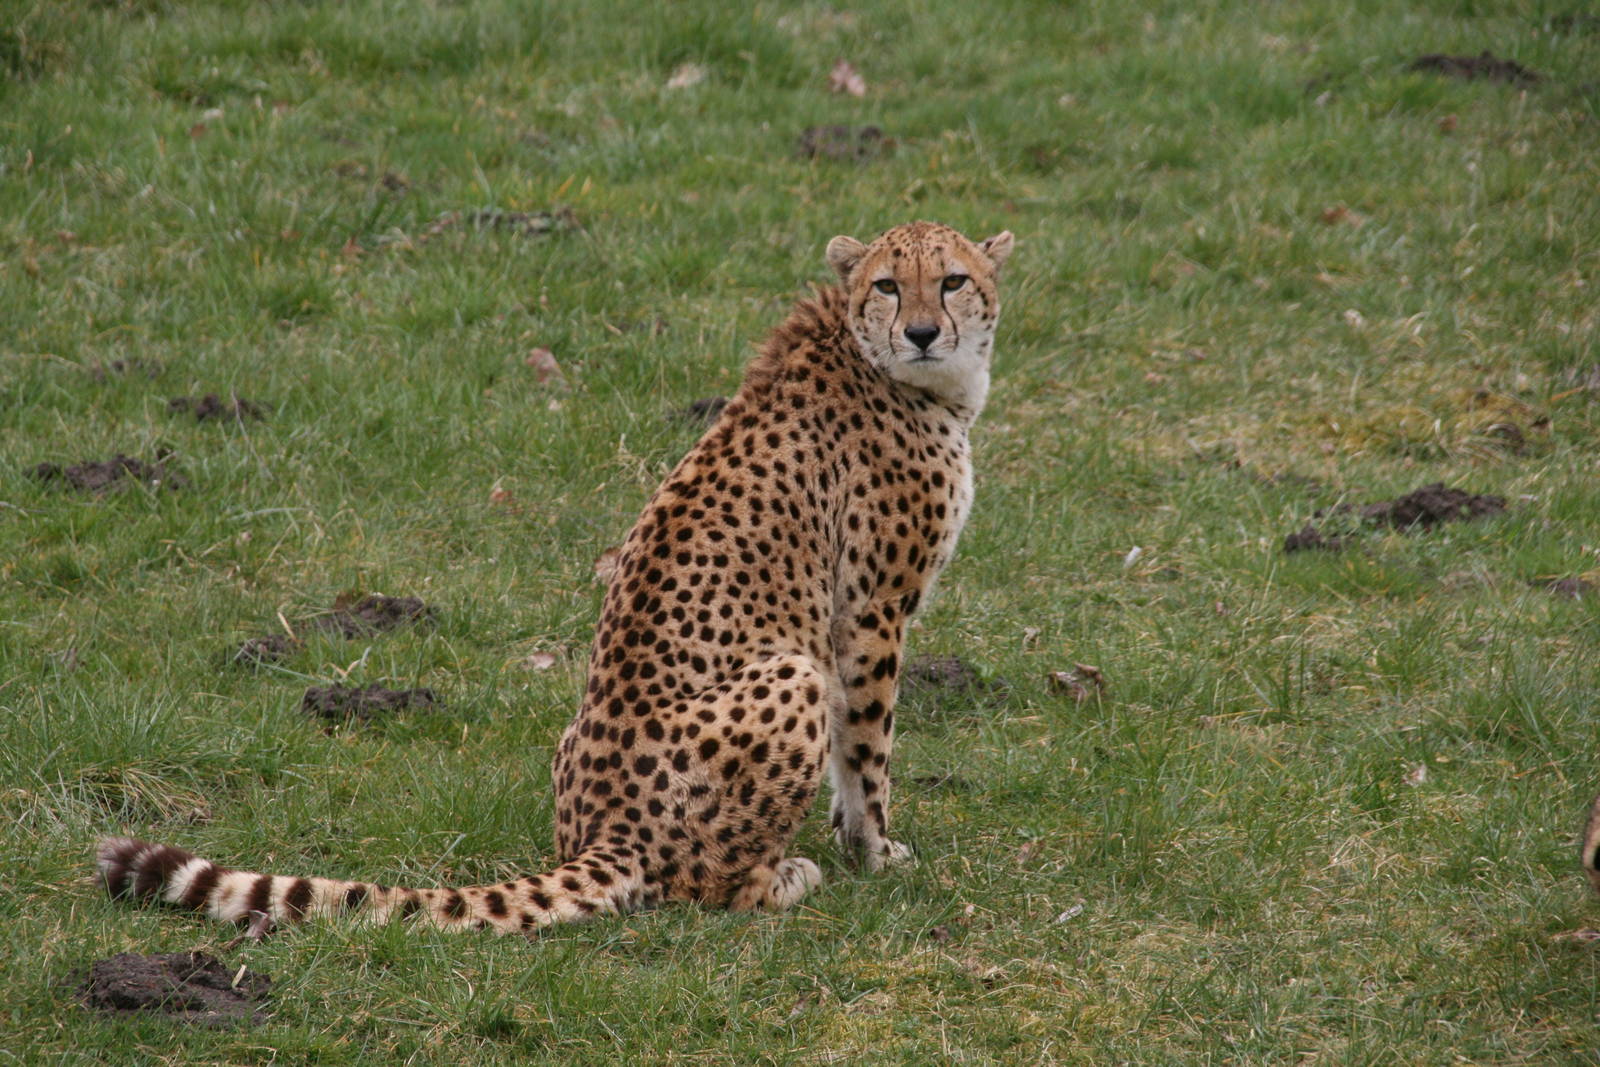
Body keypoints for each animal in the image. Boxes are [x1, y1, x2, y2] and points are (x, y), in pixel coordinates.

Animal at [97, 220, 1015, 934]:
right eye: (890, 285)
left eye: (953, 280)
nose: (923, 331)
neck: (884, 363)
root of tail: (603, 830)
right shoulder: (872, 613)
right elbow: (867, 749)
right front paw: (875, 852)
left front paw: (855, 837)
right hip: (789, 673)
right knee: (700, 888)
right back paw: (784, 876)